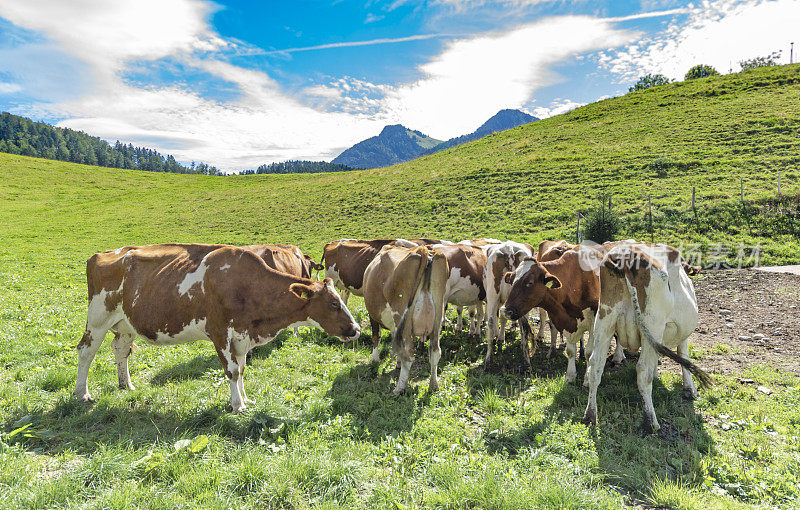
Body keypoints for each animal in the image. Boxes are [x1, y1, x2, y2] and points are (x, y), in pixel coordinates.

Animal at [73, 241, 360, 412]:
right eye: (334, 303)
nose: (356, 329)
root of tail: (104, 253)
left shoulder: (242, 335)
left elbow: (241, 369)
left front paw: (246, 398)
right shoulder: (220, 332)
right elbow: (231, 371)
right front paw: (237, 405)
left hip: (125, 324)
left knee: (120, 350)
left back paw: (126, 385)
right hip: (98, 318)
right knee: (86, 352)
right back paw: (82, 393)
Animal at [364, 245, 450, 392]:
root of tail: (423, 250)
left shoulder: (373, 314)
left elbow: (376, 336)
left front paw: (375, 360)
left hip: (402, 317)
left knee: (408, 354)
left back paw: (399, 388)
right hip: (438, 315)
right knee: (435, 351)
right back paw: (434, 385)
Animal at [580, 243, 712, 434]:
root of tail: (626, 255)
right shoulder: (679, 334)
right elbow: (684, 357)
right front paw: (690, 389)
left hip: (604, 322)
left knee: (595, 365)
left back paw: (590, 415)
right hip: (652, 324)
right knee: (643, 371)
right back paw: (651, 422)